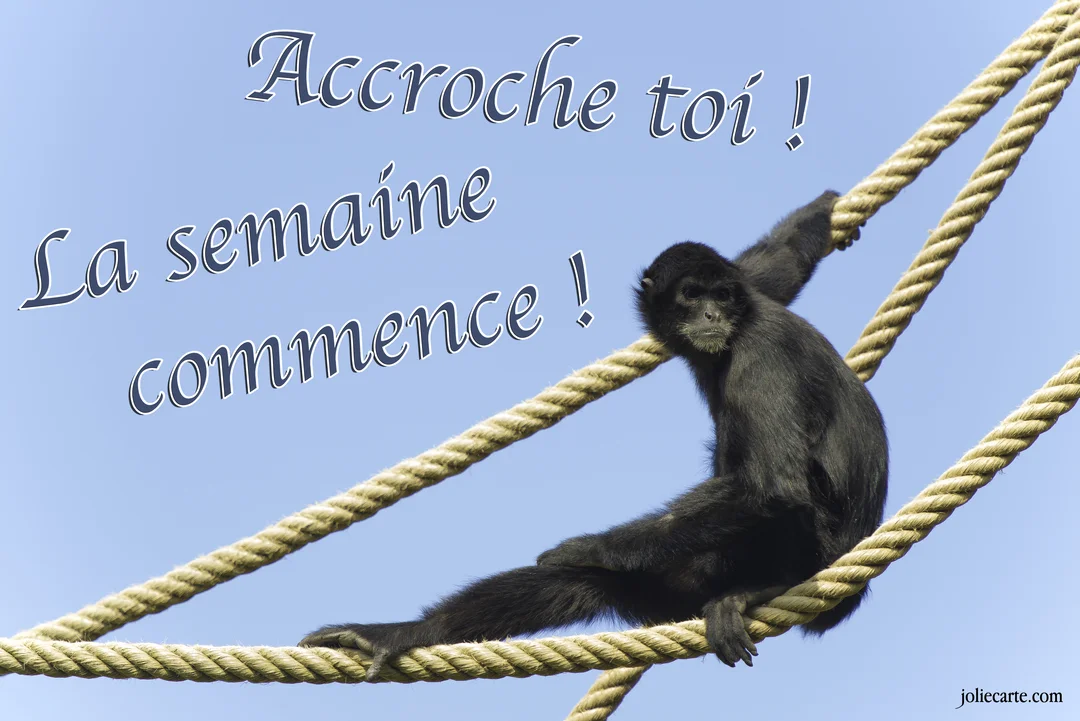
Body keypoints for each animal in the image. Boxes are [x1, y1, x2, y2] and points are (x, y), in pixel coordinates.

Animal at [299, 190, 887, 679]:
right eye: (692, 293)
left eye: (718, 296)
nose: (712, 313)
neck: (736, 331)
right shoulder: (753, 293)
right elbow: (778, 263)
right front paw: (825, 208)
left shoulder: (758, 353)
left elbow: (776, 487)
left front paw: (589, 546)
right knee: (583, 585)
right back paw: (406, 633)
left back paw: (755, 590)